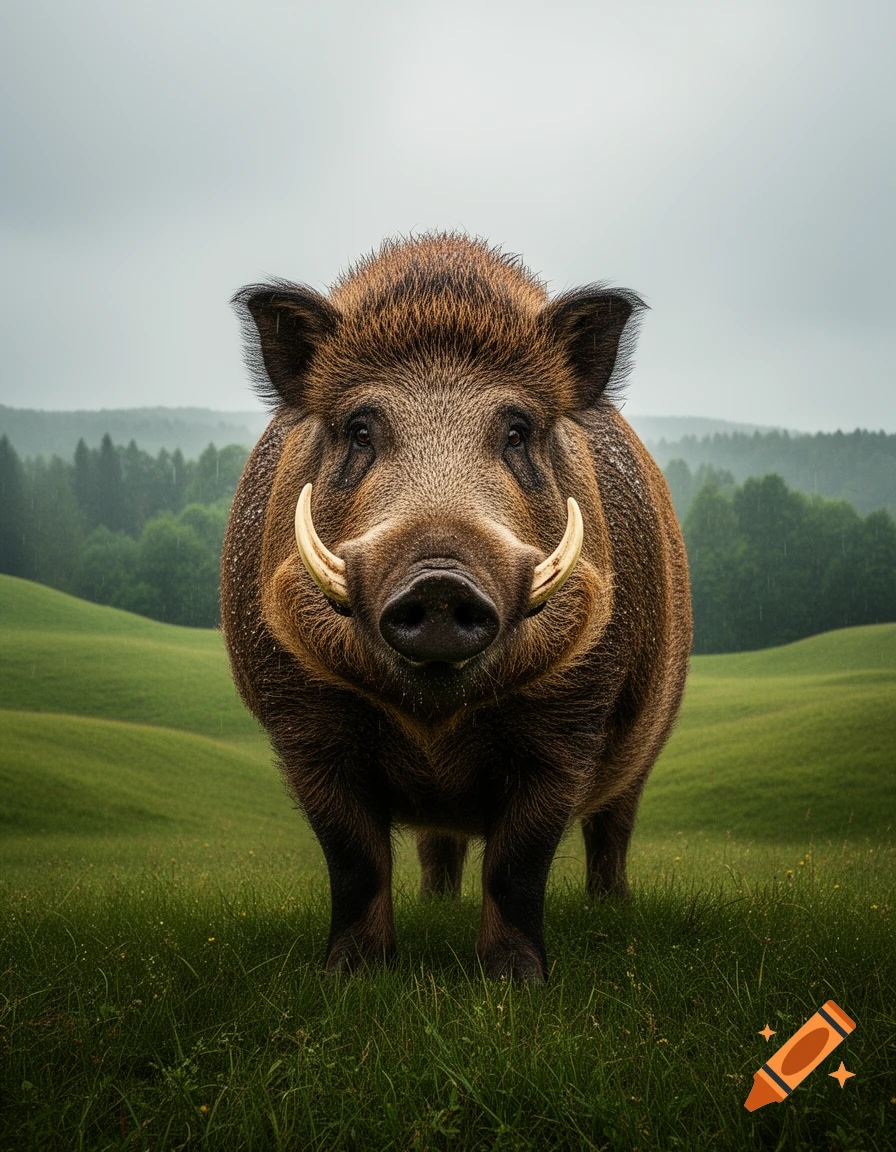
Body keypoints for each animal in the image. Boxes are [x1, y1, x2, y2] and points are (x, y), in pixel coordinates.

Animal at [221, 233, 692, 983]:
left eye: (517, 431)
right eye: (360, 430)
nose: (439, 580)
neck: (433, 722)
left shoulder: (569, 722)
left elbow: (519, 864)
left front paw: (516, 982)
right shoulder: (304, 723)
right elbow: (353, 860)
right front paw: (351, 978)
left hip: (648, 743)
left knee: (611, 827)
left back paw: (612, 909)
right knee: (437, 845)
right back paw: (435, 905)